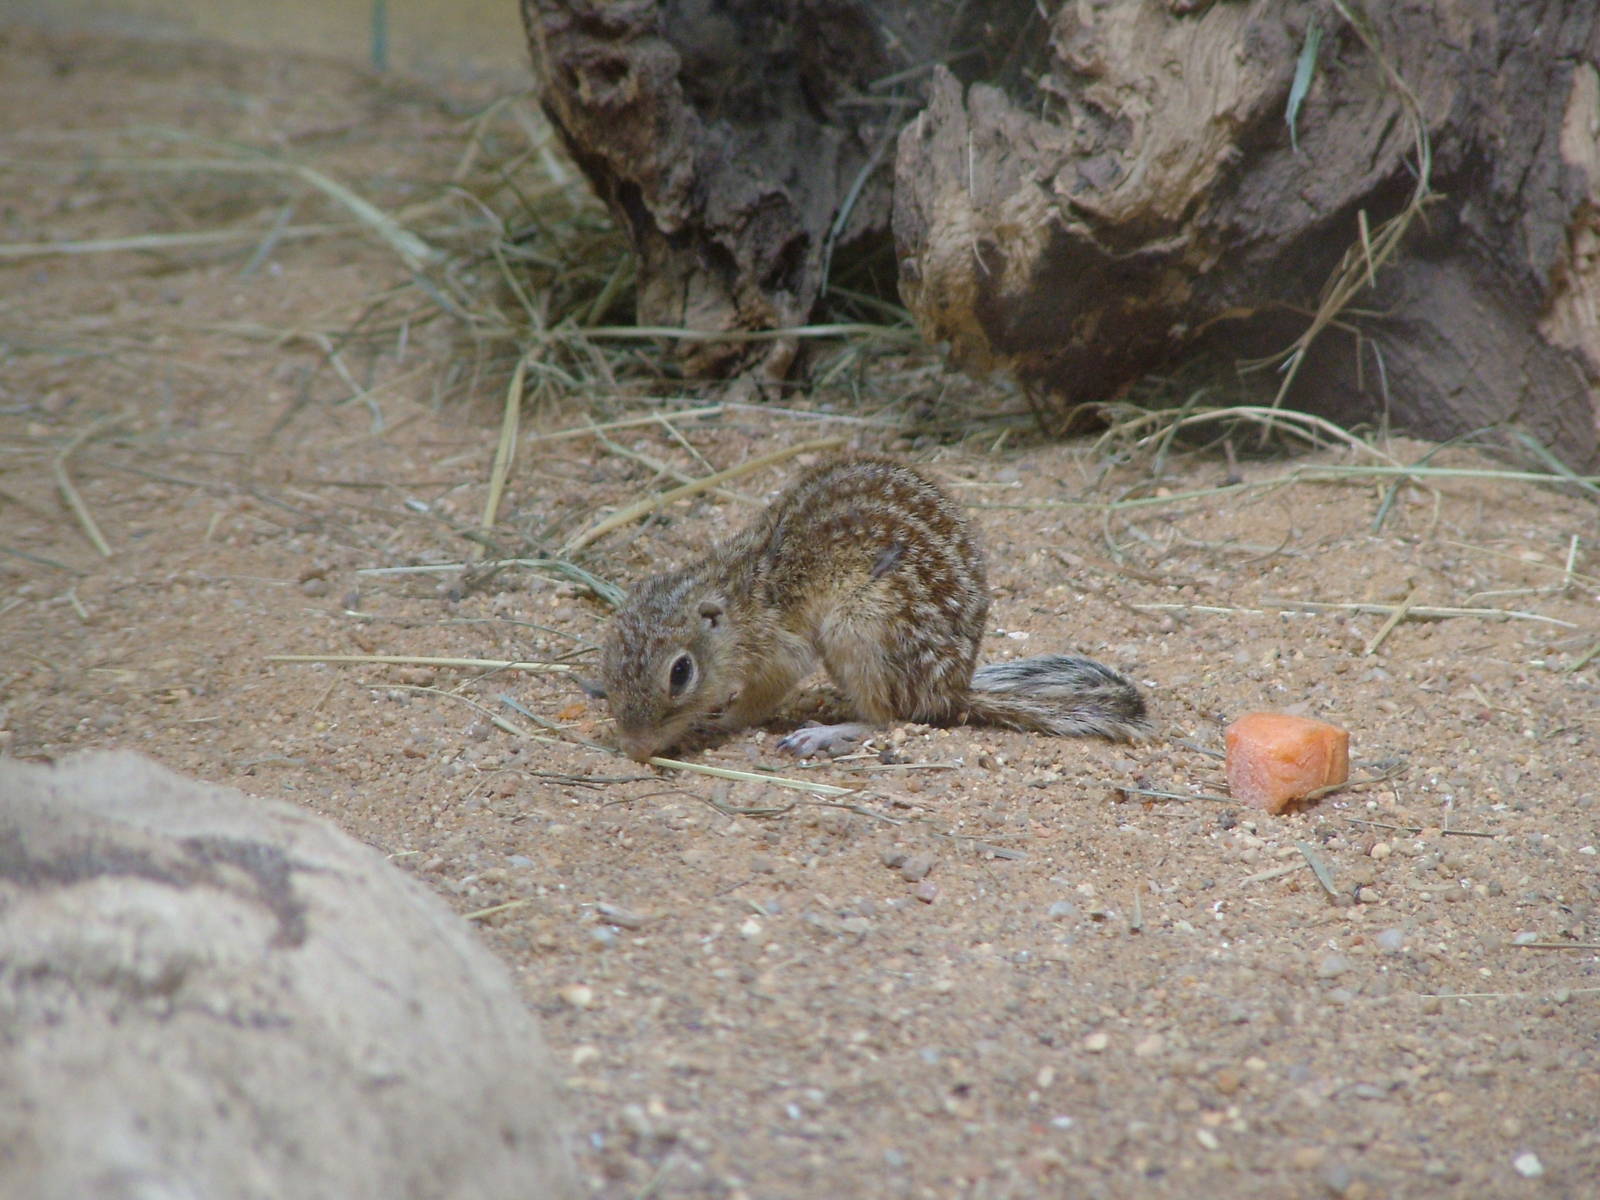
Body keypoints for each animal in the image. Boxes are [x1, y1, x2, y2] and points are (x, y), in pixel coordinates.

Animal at [596, 456, 1151, 762]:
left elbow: (760, 697)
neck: (737, 594)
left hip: (859, 629)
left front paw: (720, 719)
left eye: (680, 673)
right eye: (606, 664)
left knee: (888, 720)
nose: (634, 749)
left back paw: (819, 734)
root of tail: (952, 692)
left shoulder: (779, 649)